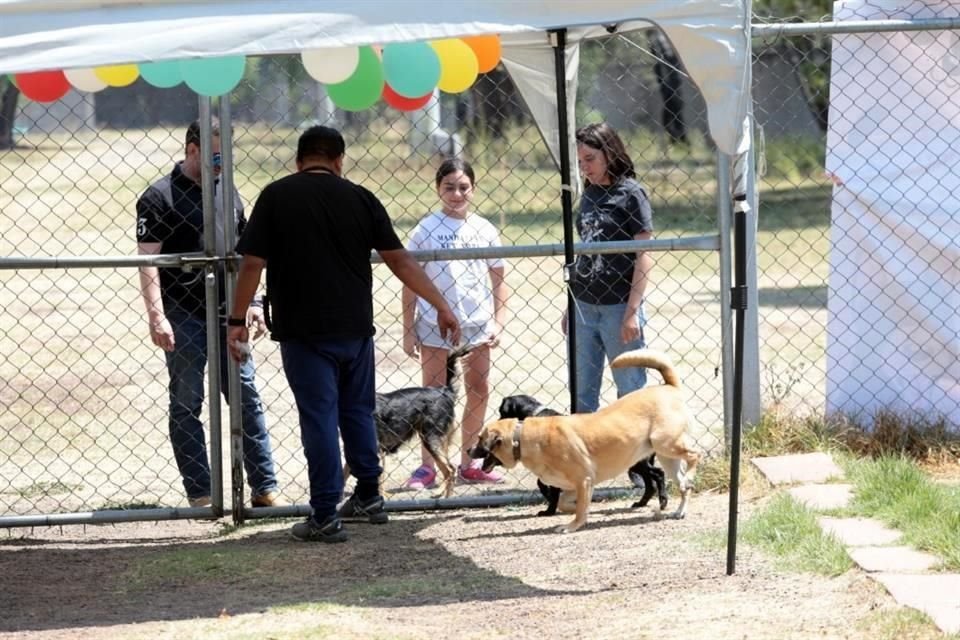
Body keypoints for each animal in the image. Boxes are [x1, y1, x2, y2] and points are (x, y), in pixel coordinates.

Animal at [344, 342, 472, 498]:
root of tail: (444, 391)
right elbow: (343, 476)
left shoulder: (376, 453)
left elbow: (377, 481)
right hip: (437, 440)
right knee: (446, 470)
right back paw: (441, 493)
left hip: (431, 439)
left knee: (450, 469)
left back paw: (447, 498)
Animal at [496, 392, 668, 512]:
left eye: (501, 412)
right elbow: (542, 483)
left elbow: (550, 487)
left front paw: (549, 509)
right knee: (650, 483)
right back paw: (641, 503)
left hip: (637, 462)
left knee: (658, 474)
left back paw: (663, 501)